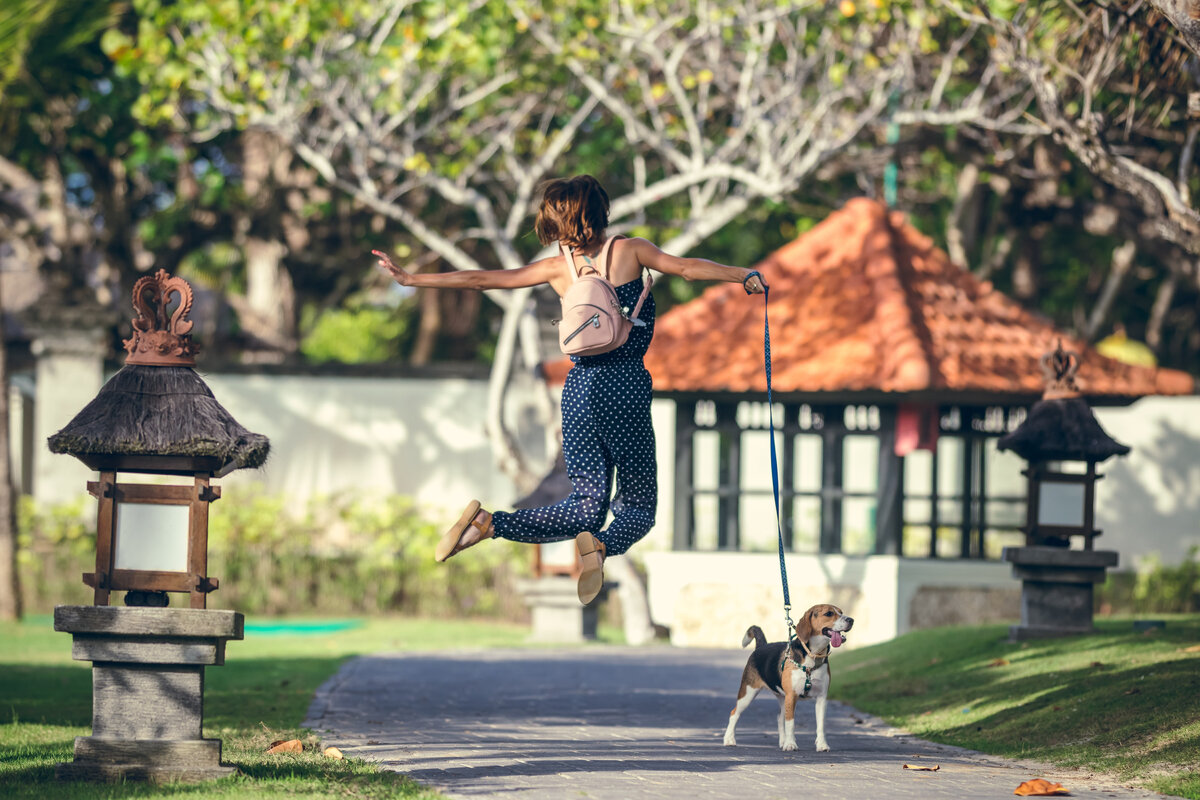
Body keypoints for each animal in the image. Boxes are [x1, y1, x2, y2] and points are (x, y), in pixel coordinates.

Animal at [720, 604, 854, 753]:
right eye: (829, 613)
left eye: (841, 612)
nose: (851, 620)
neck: (812, 655)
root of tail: (761, 645)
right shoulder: (792, 695)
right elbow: (791, 723)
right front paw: (790, 744)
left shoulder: (821, 698)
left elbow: (821, 725)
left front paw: (822, 745)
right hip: (748, 693)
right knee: (734, 713)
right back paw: (729, 740)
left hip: (782, 698)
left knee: (779, 718)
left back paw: (782, 741)